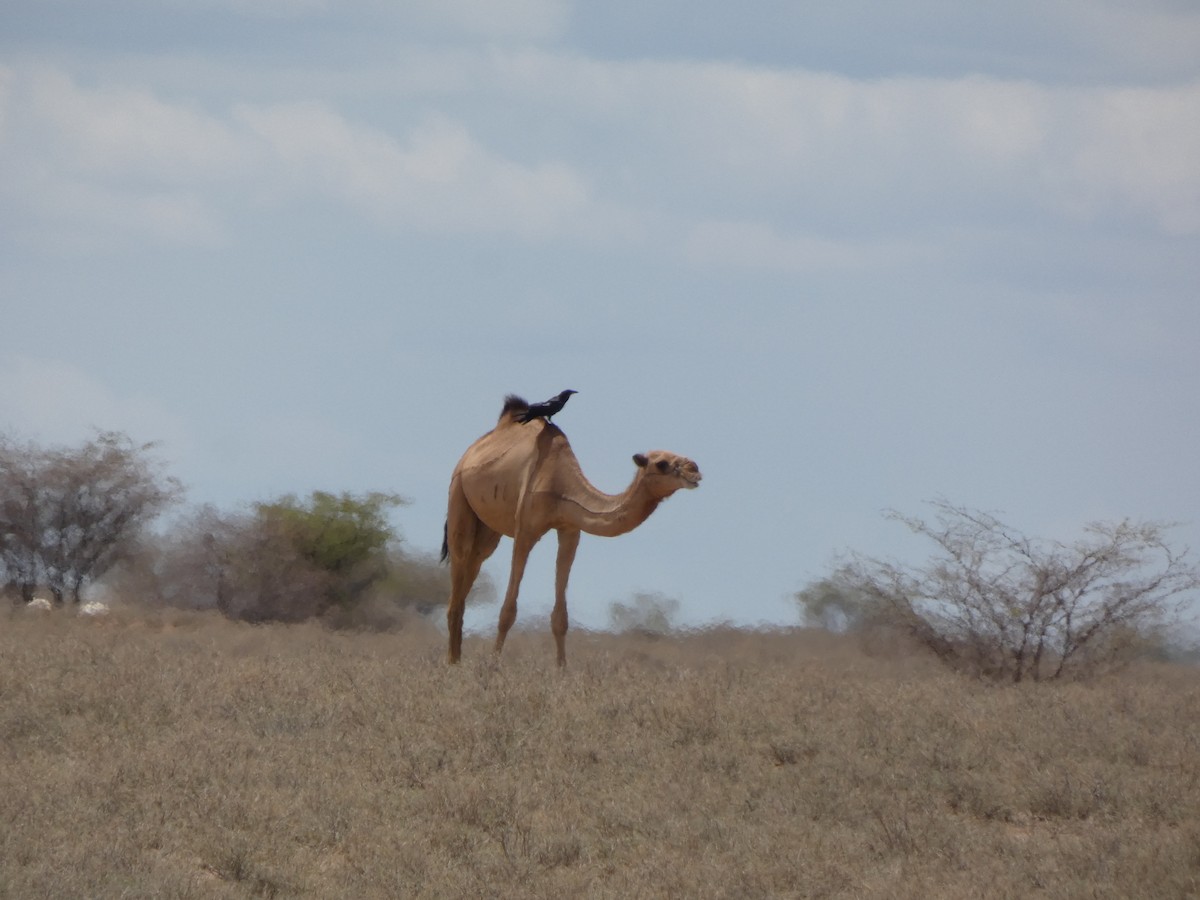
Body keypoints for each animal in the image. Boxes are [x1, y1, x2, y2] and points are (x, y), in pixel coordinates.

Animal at [446, 398, 700, 667]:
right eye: (662, 464)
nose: (695, 469)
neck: (560, 484)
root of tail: (469, 454)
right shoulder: (525, 531)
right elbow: (508, 610)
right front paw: (493, 665)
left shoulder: (570, 531)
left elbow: (561, 617)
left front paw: (562, 669)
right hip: (458, 497)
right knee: (459, 573)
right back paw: (452, 663)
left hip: (488, 530)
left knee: (473, 566)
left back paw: (457, 659)